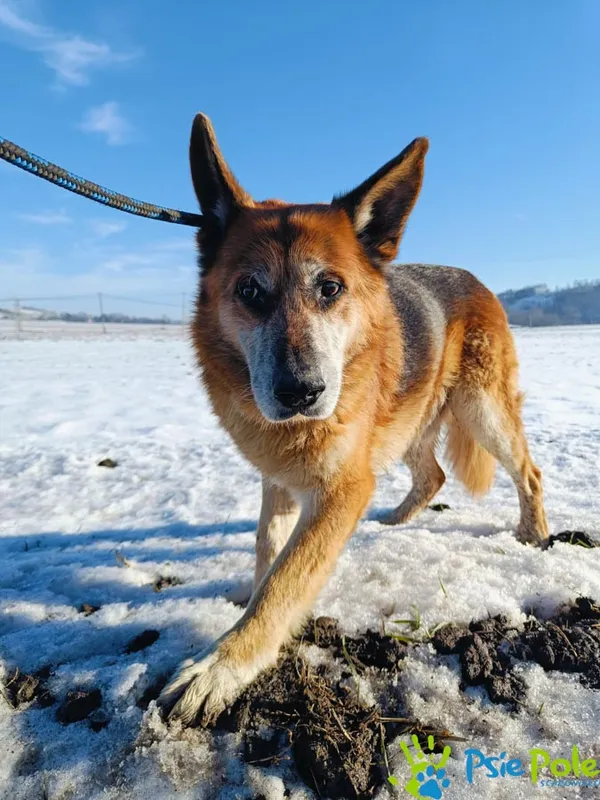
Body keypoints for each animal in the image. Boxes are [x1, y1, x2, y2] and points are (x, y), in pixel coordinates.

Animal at [158, 111, 548, 724]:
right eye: (249, 290)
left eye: (331, 287)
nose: (301, 392)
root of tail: (476, 279)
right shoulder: (279, 479)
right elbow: (268, 551)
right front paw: (244, 607)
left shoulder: (344, 486)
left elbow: (288, 578)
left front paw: (224, 664)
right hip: (412, 422)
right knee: (433, 474)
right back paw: (394, 522)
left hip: (482, 410)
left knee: (528, 471)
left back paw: (533, 533)